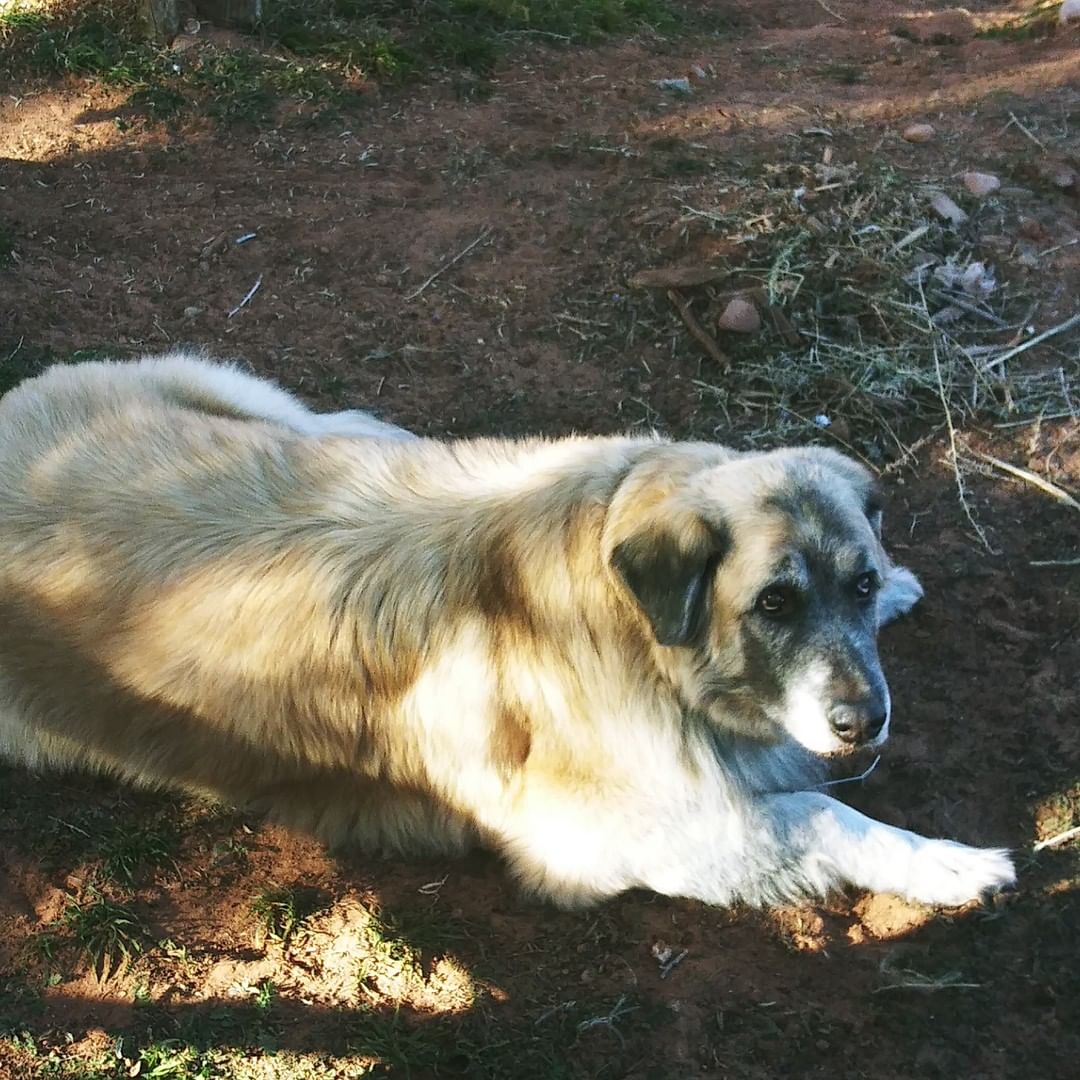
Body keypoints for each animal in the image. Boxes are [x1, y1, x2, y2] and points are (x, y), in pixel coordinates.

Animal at [0, 356, 1010, 911]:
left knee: (344, 428)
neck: (629, 625)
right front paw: (951, 863)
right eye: (774, 605)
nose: (865, 722)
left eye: (857, 584)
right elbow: (821, 814)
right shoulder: (608, 834)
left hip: (242, 397)